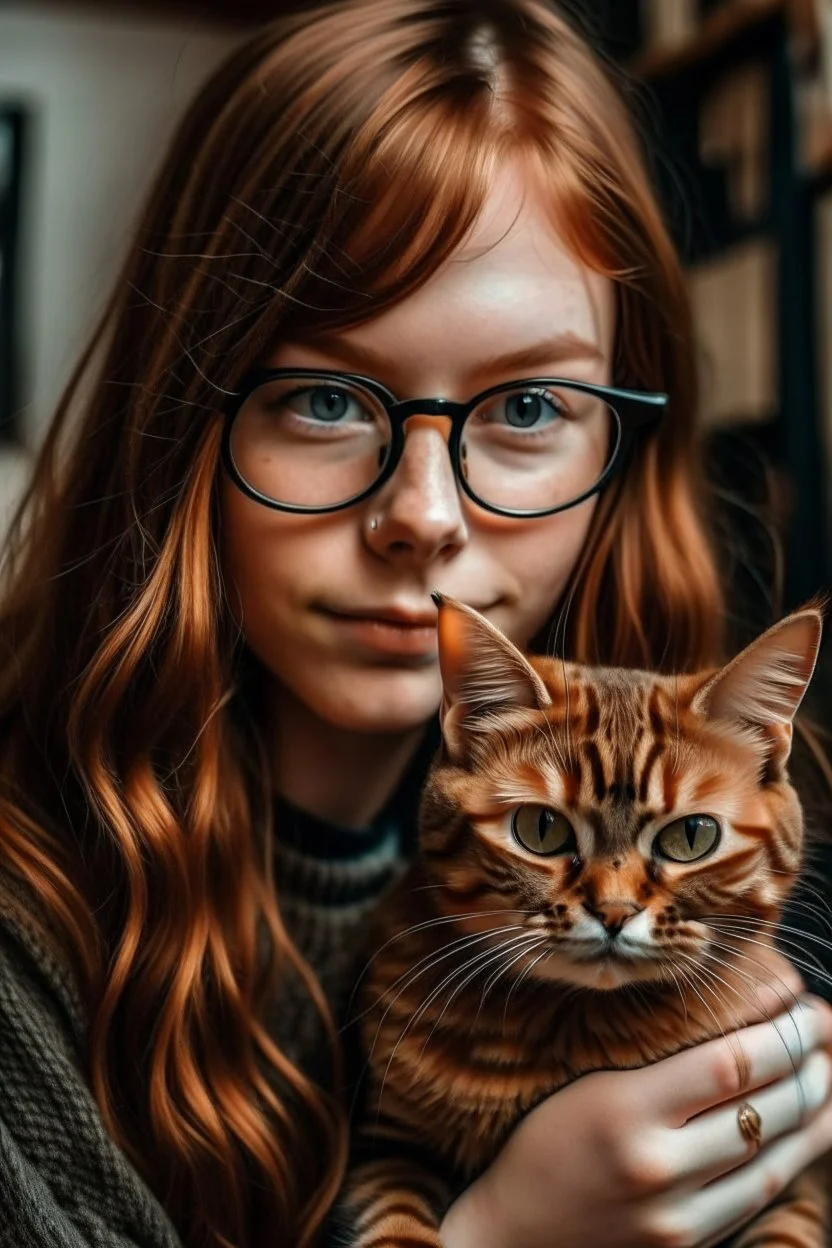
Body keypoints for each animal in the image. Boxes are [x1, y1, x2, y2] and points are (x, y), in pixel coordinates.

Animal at [336, 596, 828, 1248]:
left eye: (691, 837)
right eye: (541, 829)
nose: (614, 911)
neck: (574, 1026)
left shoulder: (800, 1188)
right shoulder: (388, 1148)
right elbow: (394, 1225)